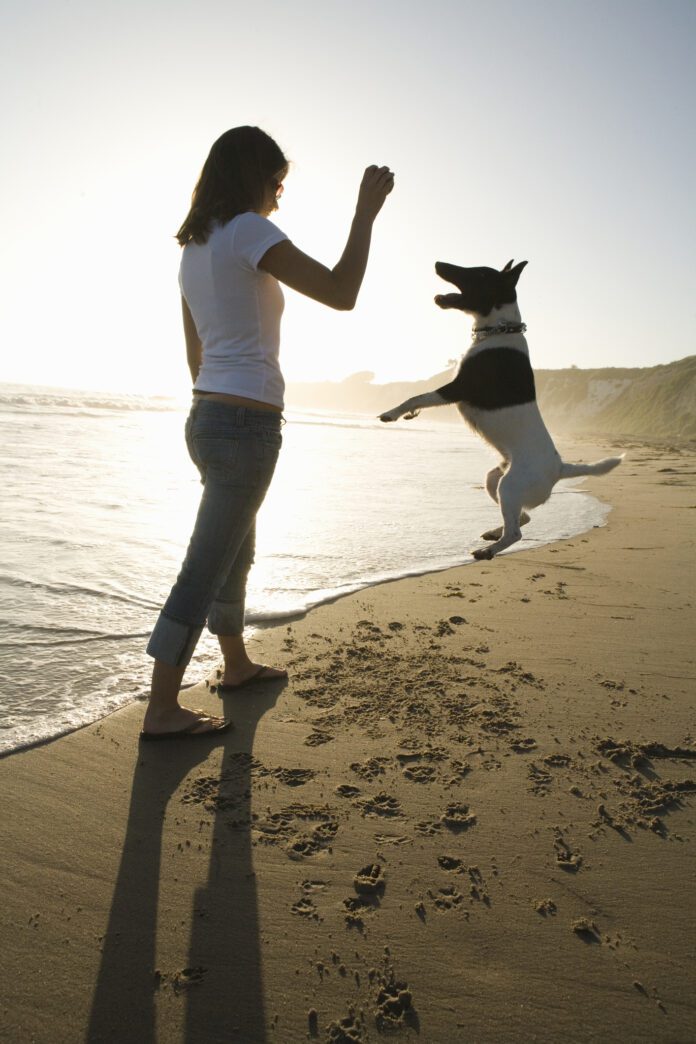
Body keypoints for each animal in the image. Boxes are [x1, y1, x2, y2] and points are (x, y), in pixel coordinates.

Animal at [381, 257, 626, 559]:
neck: (499, 329)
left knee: (516, 531)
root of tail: (560, 469)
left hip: (509, 486)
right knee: (522, 517)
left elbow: (416, 397)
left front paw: (391, 414)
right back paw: (493, 534)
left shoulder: (457, 388)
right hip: (494, 480)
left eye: (478, 274)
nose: (438, 263)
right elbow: (418, 400)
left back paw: (489, 550)